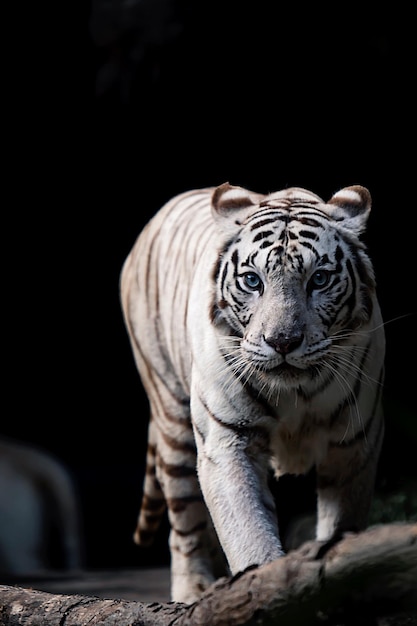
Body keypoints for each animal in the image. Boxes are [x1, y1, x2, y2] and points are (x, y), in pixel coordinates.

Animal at [119, 183, 384, 604]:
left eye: (320, 279)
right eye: (253, 281)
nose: (283, 342)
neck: (298, 392)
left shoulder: (355, 442)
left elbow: (342, 520)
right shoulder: (229, 440)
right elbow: (246, 525)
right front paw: (261, 584)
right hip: (173, 420)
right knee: (185, 523)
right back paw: (193, 590)